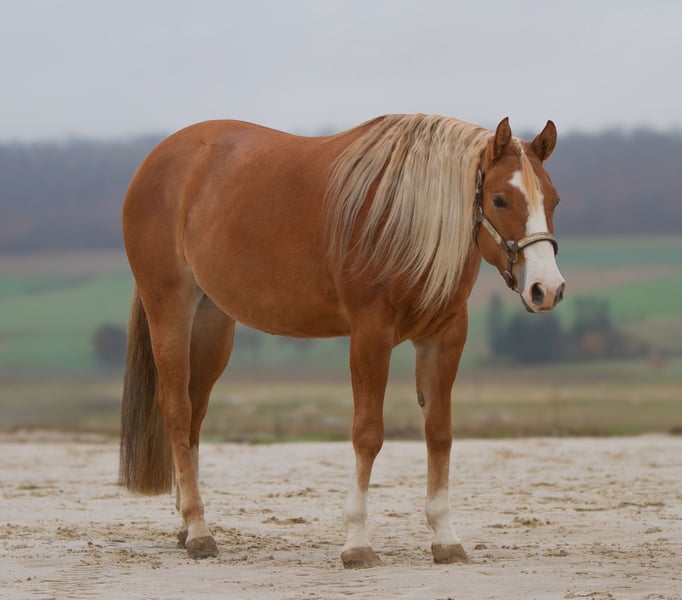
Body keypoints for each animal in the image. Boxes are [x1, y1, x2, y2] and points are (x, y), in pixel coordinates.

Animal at [119, 113, 565, 568]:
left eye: (553, 200)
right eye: (499, 200)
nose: (547, 289)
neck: (405, 218)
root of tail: (157, 159)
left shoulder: (444, 337)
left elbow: (439, 434)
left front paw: (445, 537)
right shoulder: (370, 334)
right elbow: (367, 434)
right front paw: (357, 542)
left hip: (211, 324)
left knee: (194, 415)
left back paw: (186, 523)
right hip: (170, 309)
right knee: (176, 411)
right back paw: (198, 531)